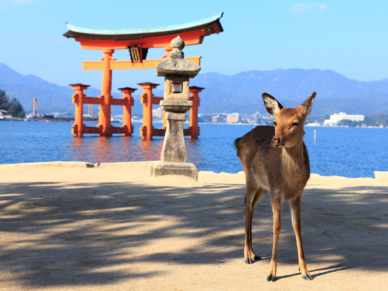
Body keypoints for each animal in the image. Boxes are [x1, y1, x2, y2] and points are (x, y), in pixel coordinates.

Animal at [235, 92, 316, 282]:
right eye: (275, 122)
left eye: (295, 123)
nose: (276, 140)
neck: (290, 180)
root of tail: (238, 140)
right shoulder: (276, 191)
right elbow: (276, 225)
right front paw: (271, 273)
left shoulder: (297, 194)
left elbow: (297, 225)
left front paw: (305, 271)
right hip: (250, 177)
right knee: (246, 203)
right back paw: (247, 255)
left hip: (263, 186)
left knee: (252, 206)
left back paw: (253, 253)